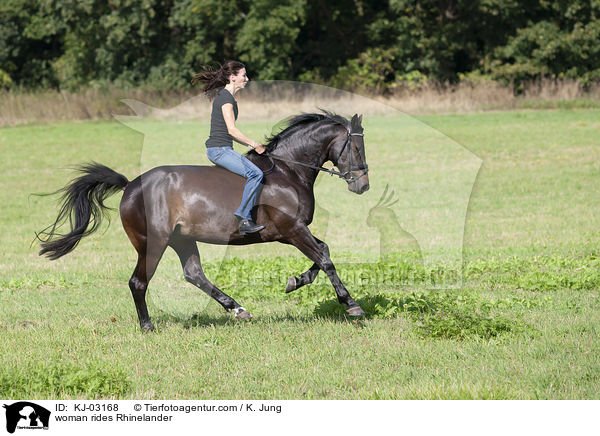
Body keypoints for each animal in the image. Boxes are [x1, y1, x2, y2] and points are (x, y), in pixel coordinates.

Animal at [38, 110, 370, 330]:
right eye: (356, 147)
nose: (363, 186)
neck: (288, 171)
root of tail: (131, 185)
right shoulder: (292, 230)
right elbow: (324, 258)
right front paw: (351, 304)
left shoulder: (293, 232)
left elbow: (322, 253)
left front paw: (295, 282)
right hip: (153, 243)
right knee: (138, 282)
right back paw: (147, 326)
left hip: (182, 240)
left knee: (194, 274)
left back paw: (238, 309)